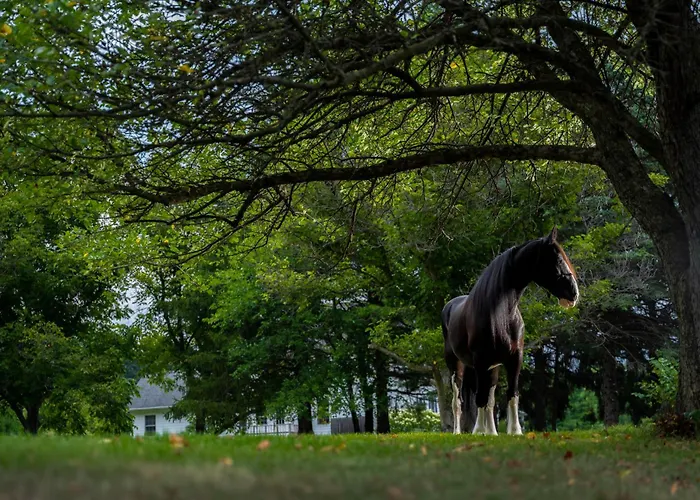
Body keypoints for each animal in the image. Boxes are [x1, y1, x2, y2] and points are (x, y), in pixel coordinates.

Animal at [441, 227, 578, 435]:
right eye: (558, 259)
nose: (574, 293)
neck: (501, 315)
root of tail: (449, 306)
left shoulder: (514, 358)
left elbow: (511, 394)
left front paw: (514, 431)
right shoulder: (481, 361)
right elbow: (480, 398)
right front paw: (479, 431)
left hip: (493, 367)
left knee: (489, 400)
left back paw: (492, 431)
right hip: (456, 366)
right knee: (458, 400)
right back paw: (461, 431)